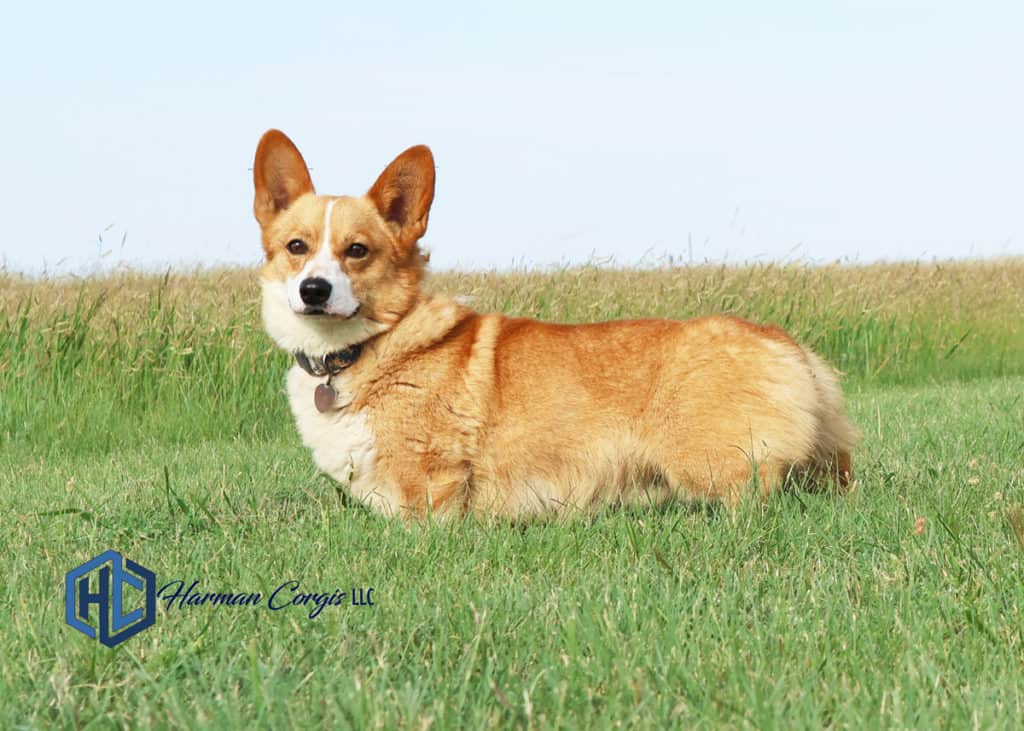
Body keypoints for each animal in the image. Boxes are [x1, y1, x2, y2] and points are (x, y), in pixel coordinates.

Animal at [253, 132, 856, 518]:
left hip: (707, 464)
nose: (313, 291)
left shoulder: (431, 484)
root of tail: (786, 345)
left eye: (357, 250)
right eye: (296, 247)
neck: (361, 349)